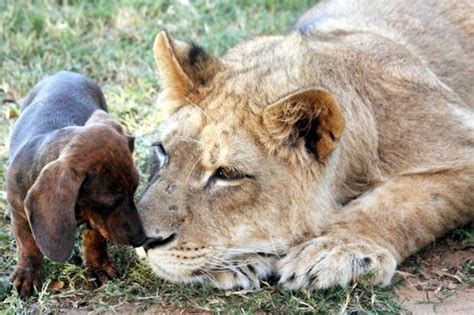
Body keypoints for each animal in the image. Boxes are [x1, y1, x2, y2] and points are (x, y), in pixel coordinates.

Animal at [6, 72, 146, 298]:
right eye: (109, 204)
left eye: (134, 190)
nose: (141, 239)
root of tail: (63, 73)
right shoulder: (19, 213)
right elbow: (27, 245)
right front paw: (27, 275)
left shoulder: (95, 219)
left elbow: (95, 238)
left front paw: (99, 266)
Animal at [135, 0, 472, 292]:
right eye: (162, 151)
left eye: (227, 174)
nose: (143, 240)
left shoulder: (461, 141)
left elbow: (402, 202)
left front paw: (338, 250)